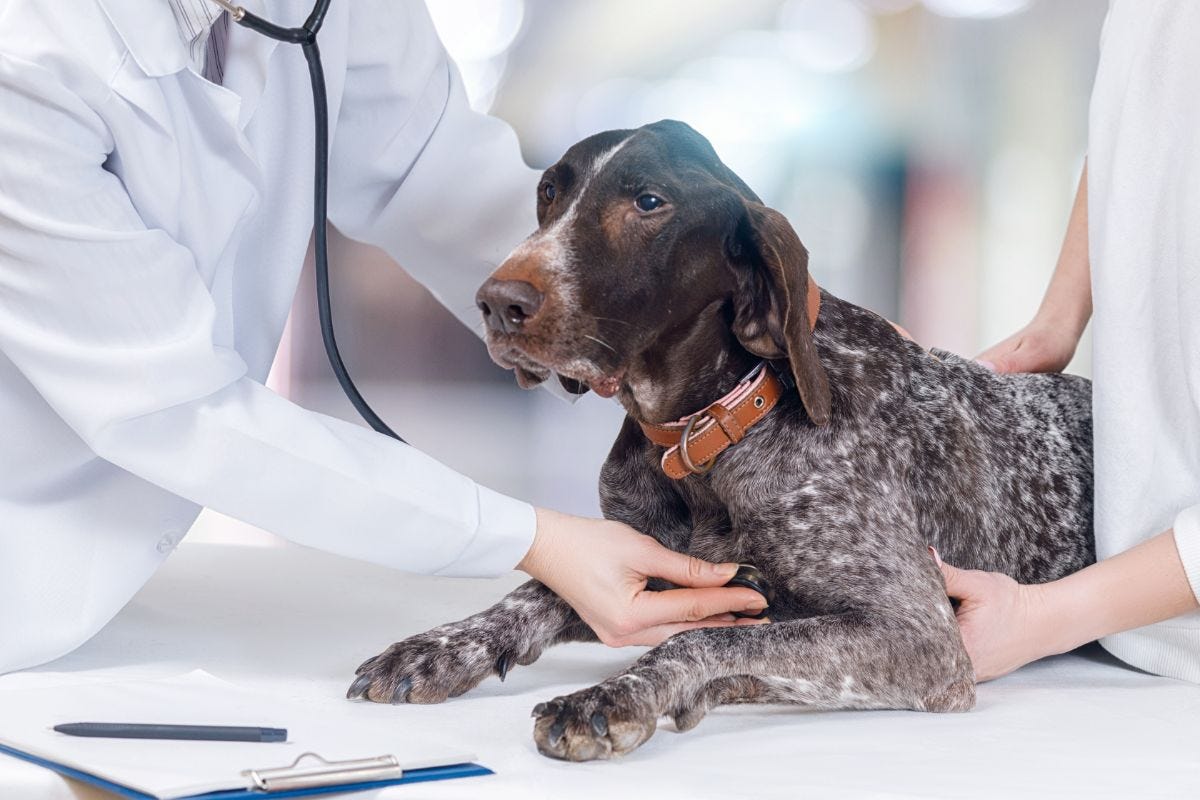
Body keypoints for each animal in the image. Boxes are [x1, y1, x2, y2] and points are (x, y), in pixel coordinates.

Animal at [348, 120, 1099, 762]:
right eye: (549, 192)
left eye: (649, 202)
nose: (499, 302)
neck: (703, 433)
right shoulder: (645, 559)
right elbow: (532, 594)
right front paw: (439, 646)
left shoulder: (918, 634)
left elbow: (702, 639)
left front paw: (612, 695)